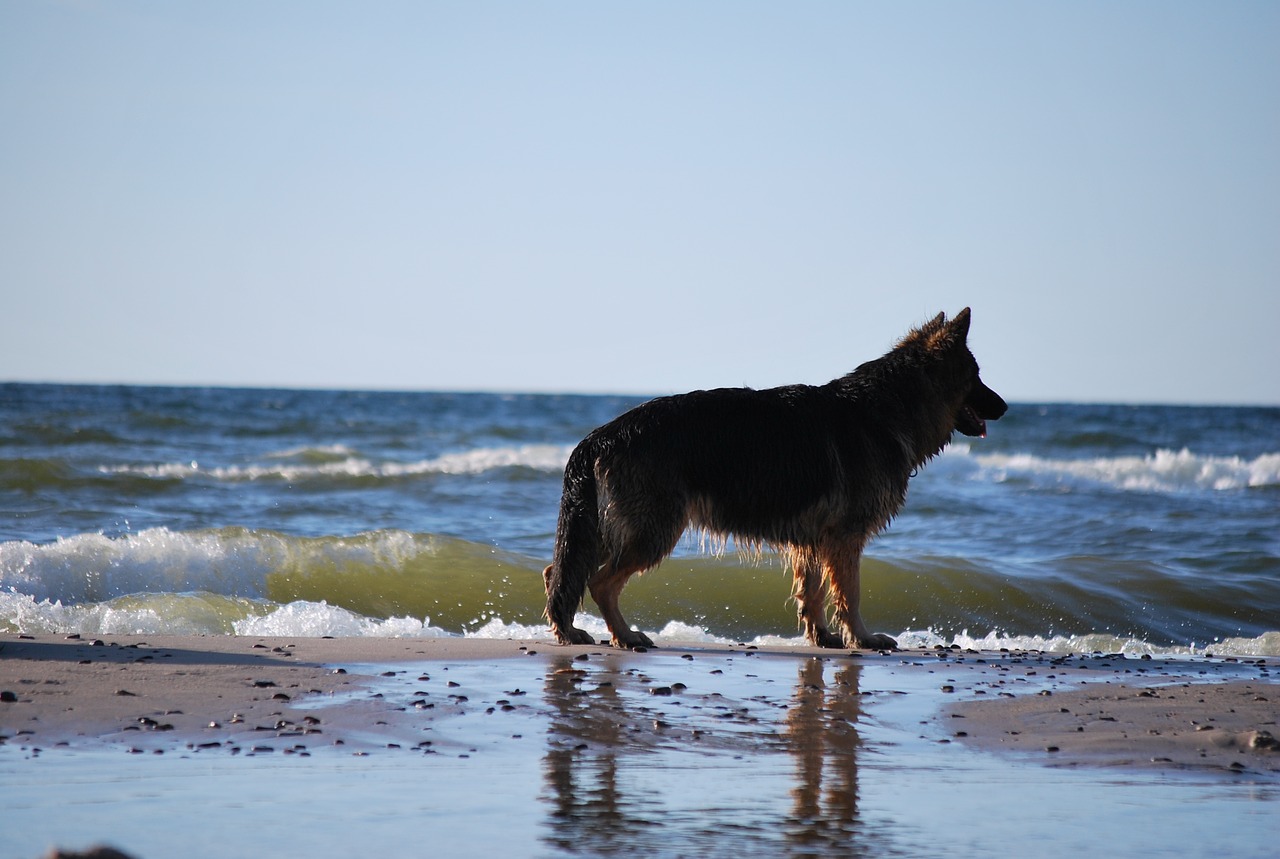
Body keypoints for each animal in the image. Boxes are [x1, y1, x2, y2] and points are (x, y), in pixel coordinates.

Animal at [545, 309, 1003, 652]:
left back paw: (572, 631)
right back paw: (625, 636)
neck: (889, 407)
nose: (1006, 406)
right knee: (600, 581)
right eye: (977, 375)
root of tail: (601, 434)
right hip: (651, 530)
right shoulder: (846, 537)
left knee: (558, 572)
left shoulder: (815, 540)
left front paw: (824, 638)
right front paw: (862, 638)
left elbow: (813, 593)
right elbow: (850, 594)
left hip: (610, 527)